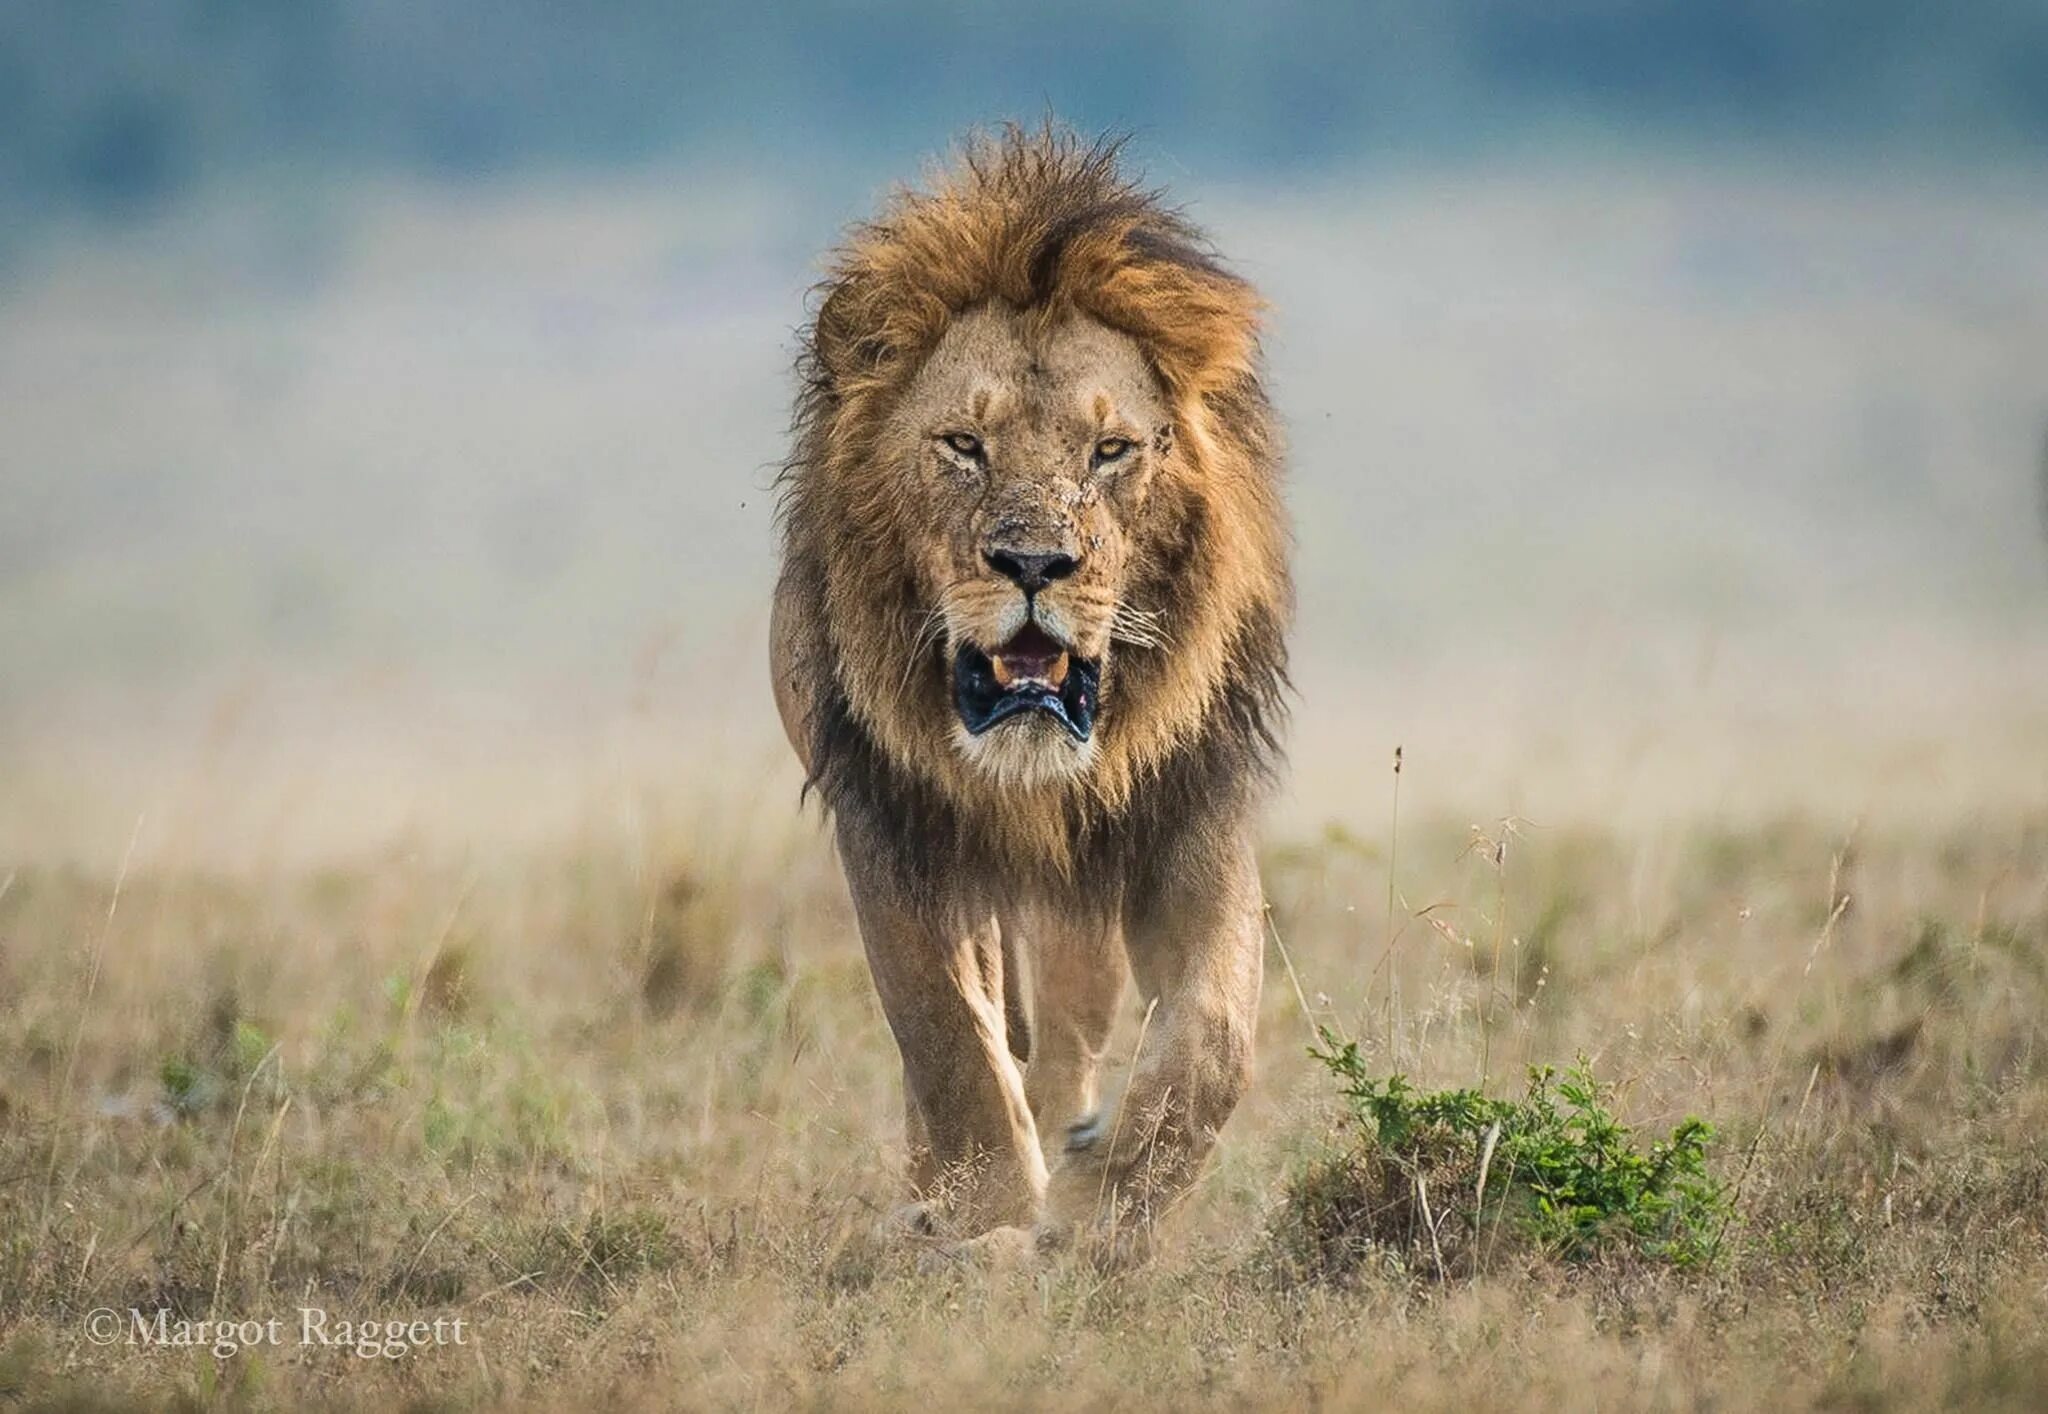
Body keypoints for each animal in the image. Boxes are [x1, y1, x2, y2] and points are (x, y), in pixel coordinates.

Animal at [774, 120, 1286, 1245]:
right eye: (963, 445)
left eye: (1110, 450)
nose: (1034, 564)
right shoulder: (892, 817)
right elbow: (945, 1037)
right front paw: (987, 1216)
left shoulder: (1190, 804)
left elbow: (1214, 1042)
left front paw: (1100, 1211)